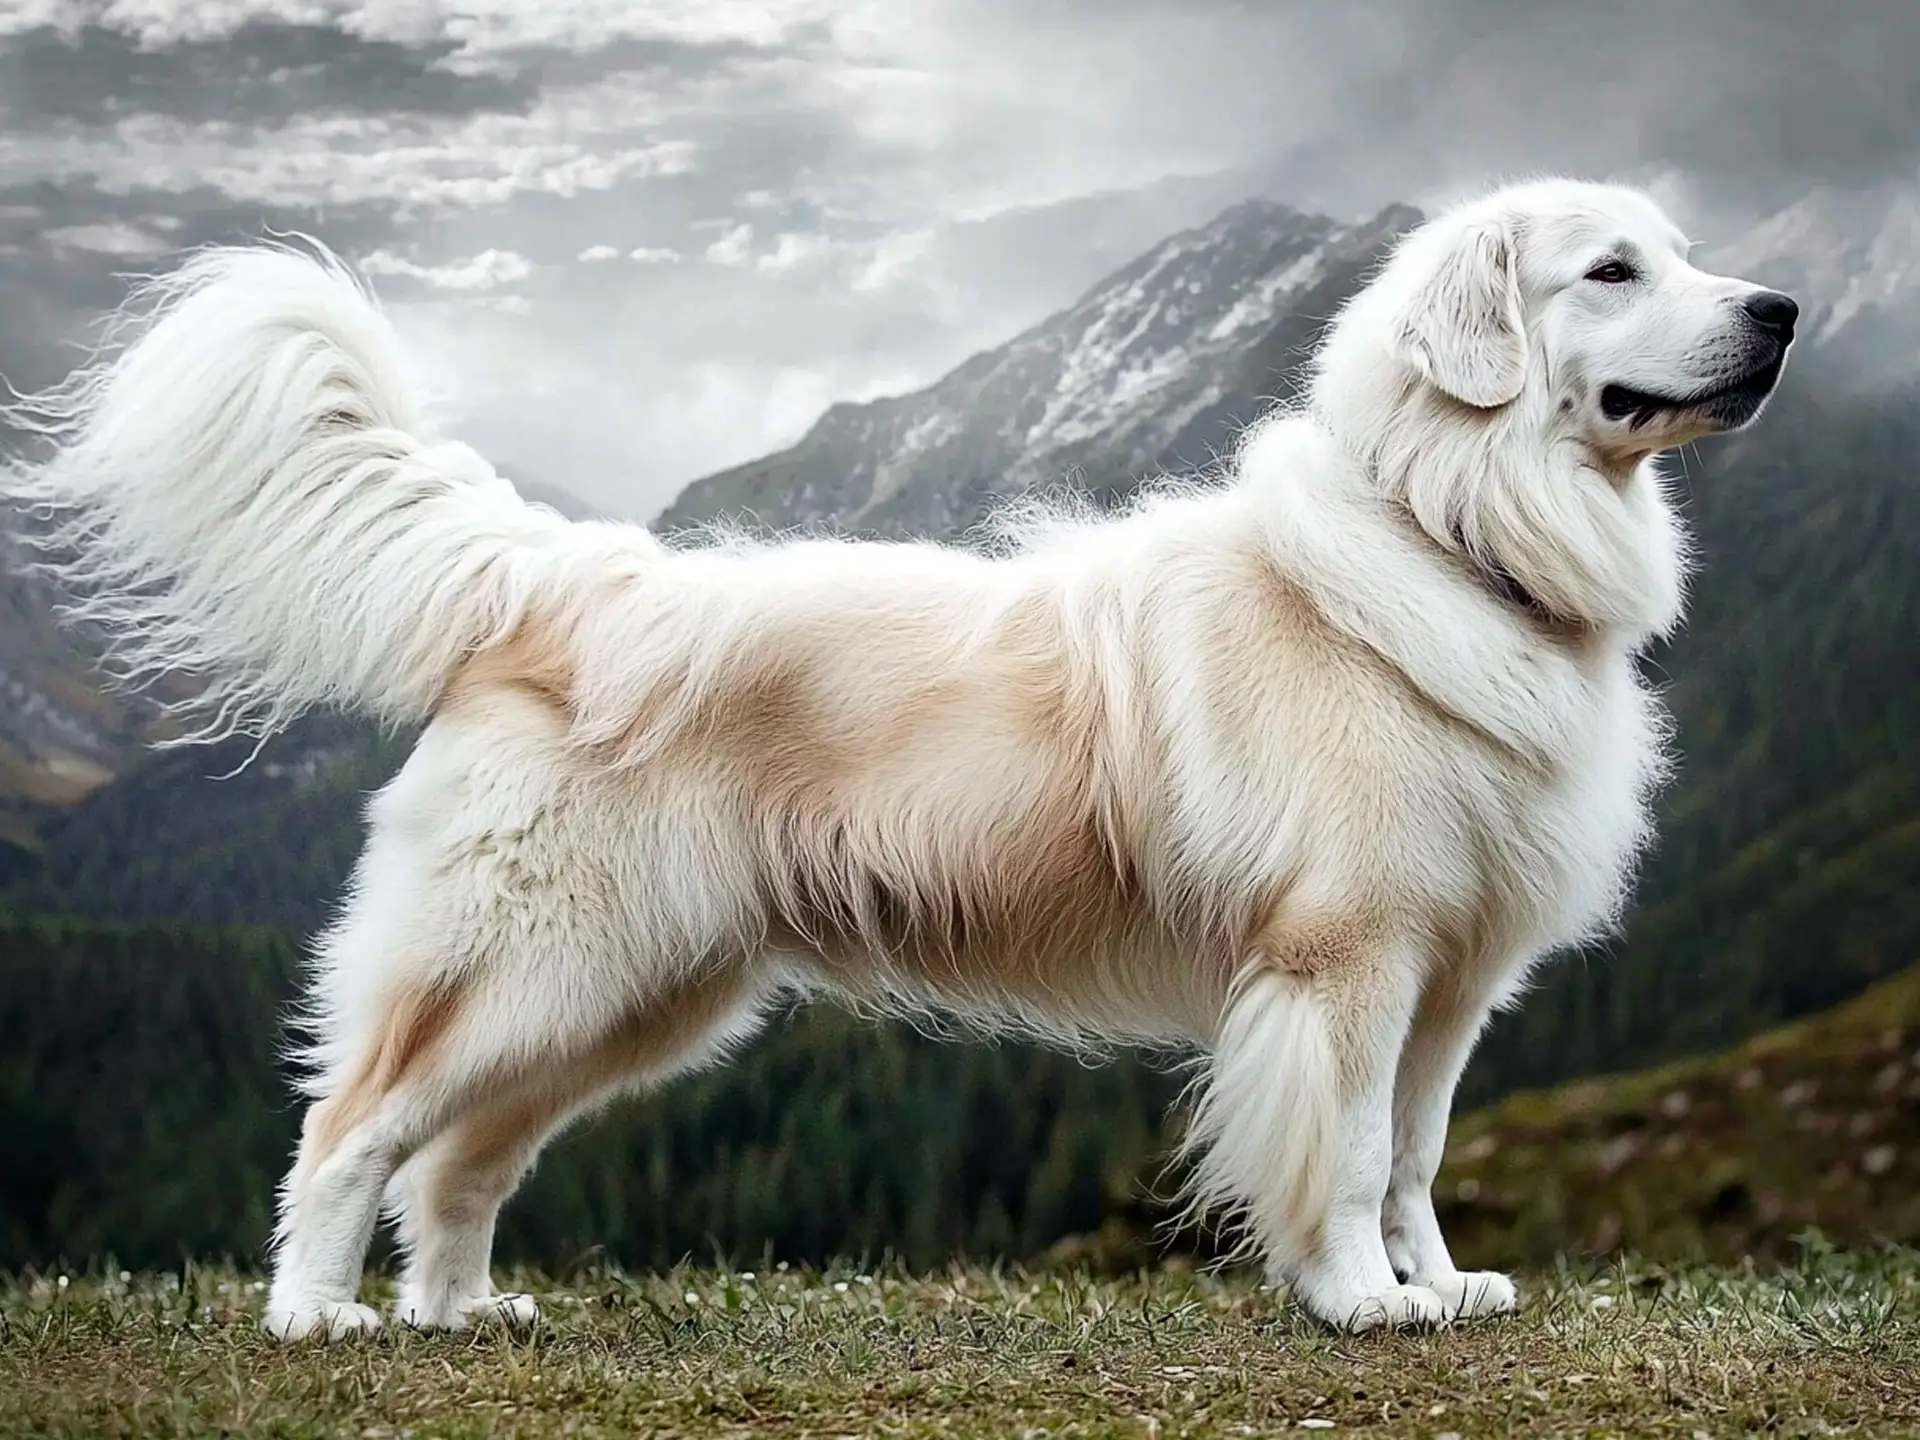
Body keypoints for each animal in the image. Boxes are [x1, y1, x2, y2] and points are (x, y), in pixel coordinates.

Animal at [3, 180, 1797, 1344]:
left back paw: (467, 1312)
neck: (1454, 538)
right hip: (526, 962)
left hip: (626, 999)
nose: (1780, 311)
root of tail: (567, 577)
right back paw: (319, 1322)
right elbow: (1349, 1156)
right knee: (351, 1128)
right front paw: (1362, 1303)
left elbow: (1417, 1154)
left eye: (1678, 253)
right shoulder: (1344, 959)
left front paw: (1439, 1287)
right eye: (1613, 270)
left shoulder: (1448, 981)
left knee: (458, 1162)